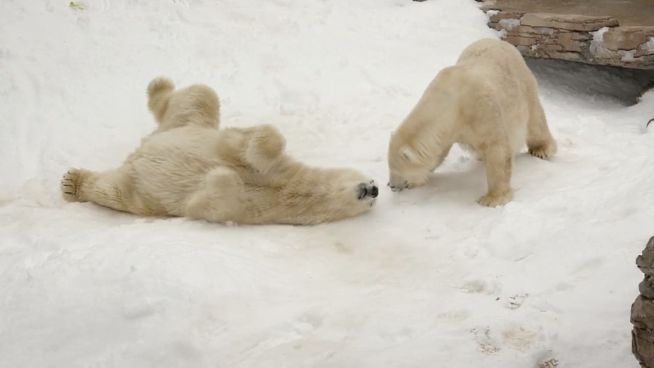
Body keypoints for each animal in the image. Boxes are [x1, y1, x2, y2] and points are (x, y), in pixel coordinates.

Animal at [62, 77, 380, 224]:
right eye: (372, 179)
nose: (375, 189)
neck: (287, 190)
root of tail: (138, 150)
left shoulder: (251, 210)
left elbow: (210, 204)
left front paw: (219, 177)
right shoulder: (274, 165)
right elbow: (255, 142)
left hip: (142, 194)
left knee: (114, 191)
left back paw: (72, 183)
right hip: (189, 125)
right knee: (200, 95)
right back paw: (159, 86)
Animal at [390, 40, 560, 208]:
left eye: (395, 169)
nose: (391, 185)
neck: (453, 103)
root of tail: (502, 42)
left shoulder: (481, 109)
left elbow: (497, 149)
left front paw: (492, 199)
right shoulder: (449, 129)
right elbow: (439, 153)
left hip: (522, 85)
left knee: (535, 121)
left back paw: (542, 149)